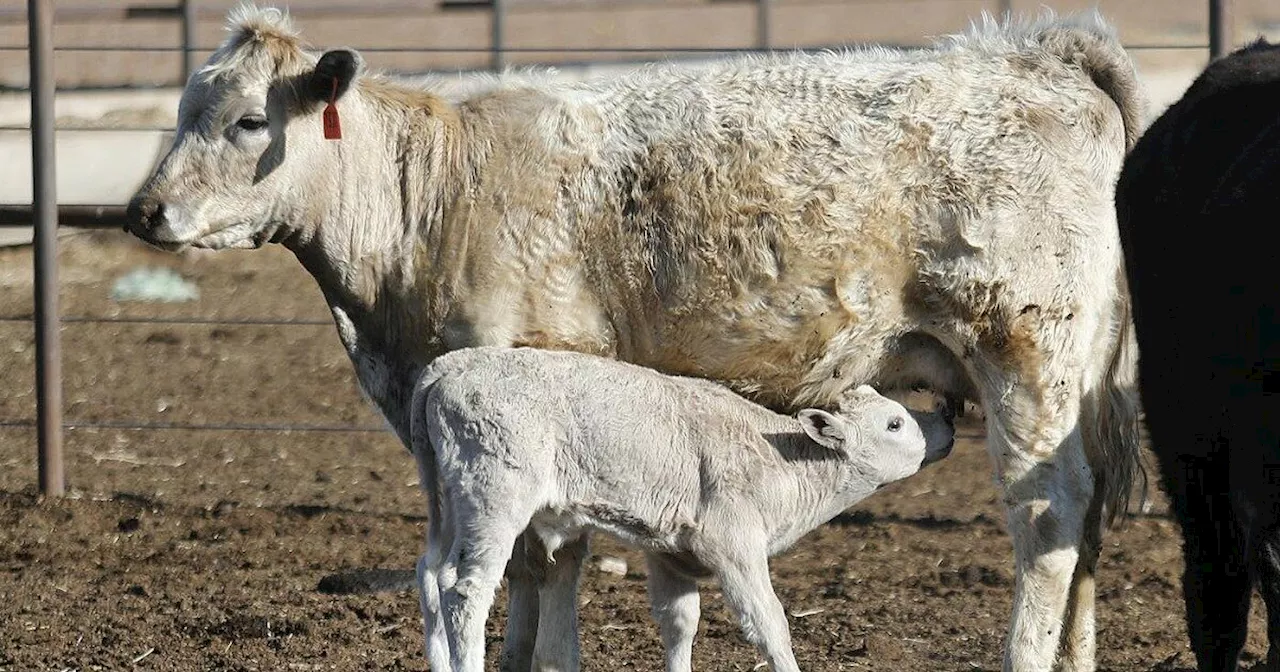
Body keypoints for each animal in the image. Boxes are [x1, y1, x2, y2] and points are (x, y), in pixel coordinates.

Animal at [414, 345, 957, 670]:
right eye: (894, 424)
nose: (947, 419)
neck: (779, 458)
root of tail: (449, 366)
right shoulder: (735, 545)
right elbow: (770, 625)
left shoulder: (670, 552)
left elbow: (680, 622)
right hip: (495, 495)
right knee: (467, 591)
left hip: (450, 498)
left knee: (433, 573)